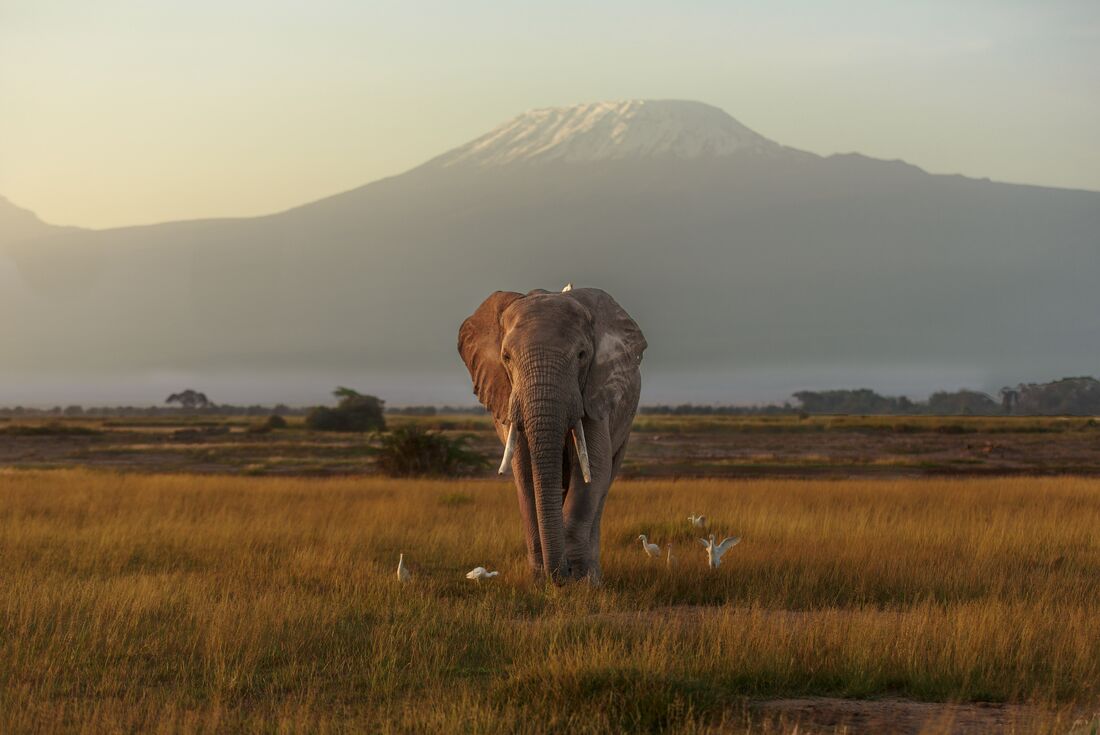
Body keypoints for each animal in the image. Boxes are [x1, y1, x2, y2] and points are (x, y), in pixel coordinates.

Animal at [458, 286, 646, 583]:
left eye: (582, 355)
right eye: (506, 358)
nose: (561, 574)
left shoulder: (595, 391)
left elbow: (594, 468)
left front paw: (581, 582)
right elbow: (525, 472)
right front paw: (540, 581)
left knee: (605, 484)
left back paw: (593, 576)